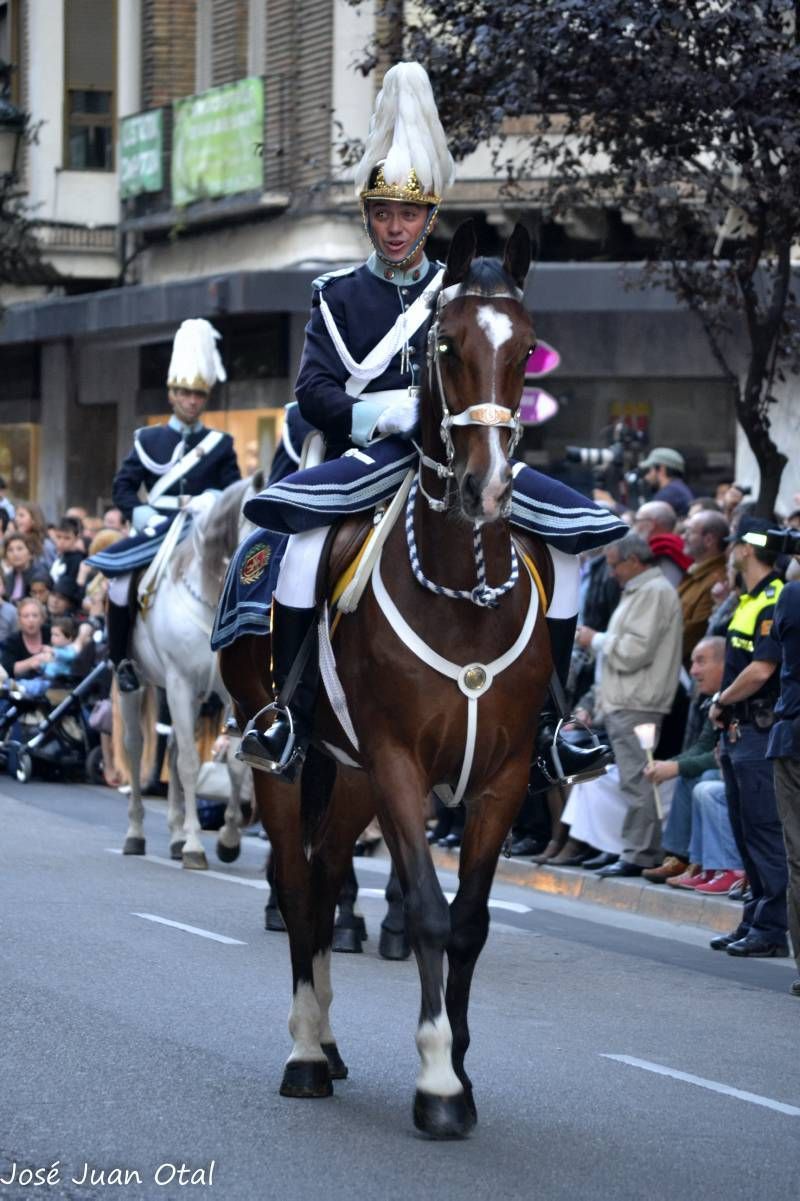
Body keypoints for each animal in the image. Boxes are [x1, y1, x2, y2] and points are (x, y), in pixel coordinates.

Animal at [118, 473, 257, 869]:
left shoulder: (224, 692)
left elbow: (233, 764)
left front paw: (228, 838)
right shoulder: (179, 682)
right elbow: (192, 765)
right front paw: (196, 845)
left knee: (173, 749)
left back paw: (177, 835)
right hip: (135, 685)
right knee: (136, 746)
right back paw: (137, 833)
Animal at [221, 223, 552, 1133]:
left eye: (526, 349)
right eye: (446, 345)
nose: (488, 487)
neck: (464, 596)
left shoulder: (502, 777)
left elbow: (469, 921)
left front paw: (461, 1070)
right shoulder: (402, 761)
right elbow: (431, 912)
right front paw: (436, 1080)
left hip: (354, 776)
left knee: (331, 871)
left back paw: (330, 1044)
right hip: (293, 761)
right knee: (300, 886)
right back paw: (305, 1052)